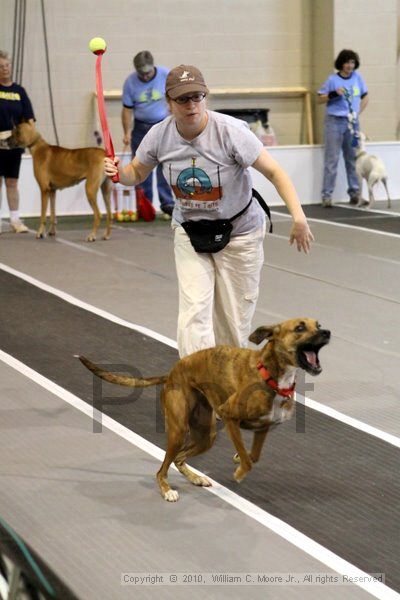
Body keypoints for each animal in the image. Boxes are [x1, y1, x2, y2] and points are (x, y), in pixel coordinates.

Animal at [77, 316, 328, 504]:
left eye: (318, 325)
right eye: (299, 327)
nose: (327, 332)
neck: (270, 374)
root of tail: (171, 373)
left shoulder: (263, 428)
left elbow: (253, 456)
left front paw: (238, 458)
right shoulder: (229, 416)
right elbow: (248, 461)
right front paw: (239, 472)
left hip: (206, 435)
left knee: (179, 458)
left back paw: (195, 478)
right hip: (179, 431)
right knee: (162, 469)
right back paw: (167, 489)